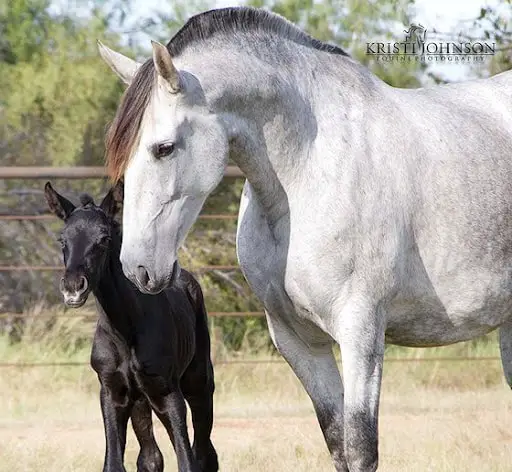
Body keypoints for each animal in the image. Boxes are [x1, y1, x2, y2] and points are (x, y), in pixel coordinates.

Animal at [44, 182, 218, 472]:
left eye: (104, 239)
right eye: (62, 240)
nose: (73, 287)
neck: (126, 333)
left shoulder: (168, 393)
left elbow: (186, 460)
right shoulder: (112, 392)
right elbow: (116, 463)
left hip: (198, 383)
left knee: (204, 454)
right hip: (140, 400)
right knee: (151, 457)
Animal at [98, 7, 510, 472]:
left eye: (164, 148)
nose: (138, 269)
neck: (309, 171)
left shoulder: (361, 333)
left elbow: (360, 447)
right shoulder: (299, 342)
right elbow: (337, 442)